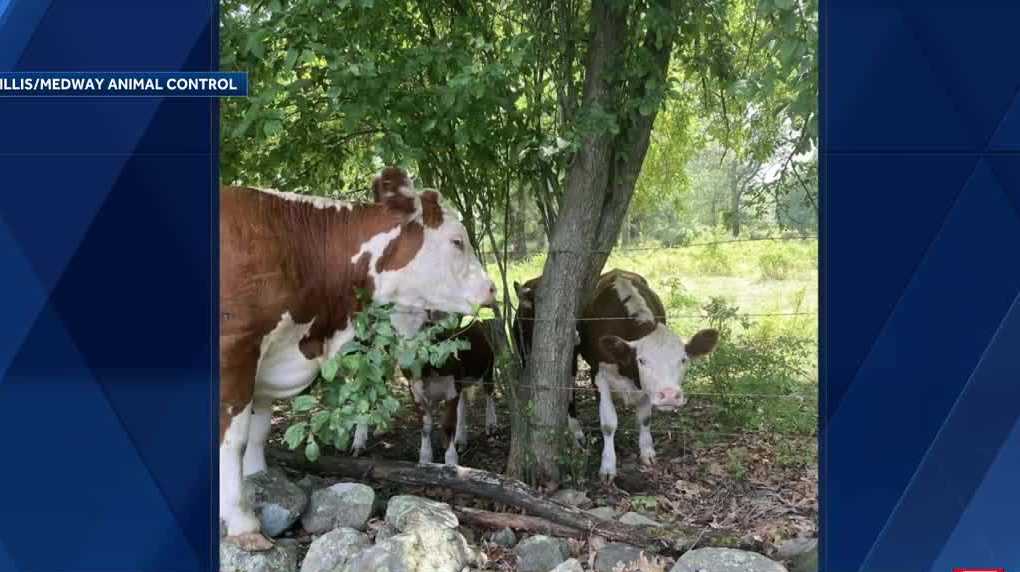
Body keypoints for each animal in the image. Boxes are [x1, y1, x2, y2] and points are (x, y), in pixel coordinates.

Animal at [407, 319, 496, 465]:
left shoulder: (451, 390)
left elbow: (448, 425)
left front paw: (451, 461)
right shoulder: (415, 393)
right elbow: (425, 427)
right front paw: (425, 459)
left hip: (488, 364)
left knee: (489, 391)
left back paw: (491, 424)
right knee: (462, 403)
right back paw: (460, 439)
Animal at [577, 269, 719, 482]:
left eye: (683, 359)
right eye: (642, 360)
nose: (669, 395)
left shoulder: (645, 388)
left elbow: (644, 418)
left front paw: (647, 452)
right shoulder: (598, 375)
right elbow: (608, 424)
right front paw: (608, 466)